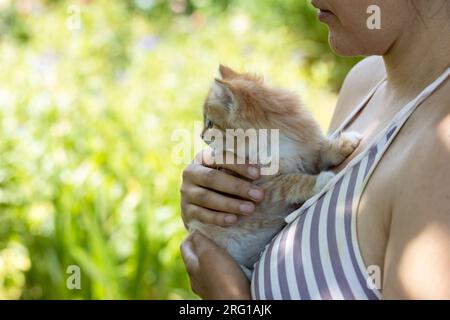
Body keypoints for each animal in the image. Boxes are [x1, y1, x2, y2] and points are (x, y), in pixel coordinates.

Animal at [188, 65, 360, 278]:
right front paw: (320, 180)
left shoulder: (305, 151)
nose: (201, 135)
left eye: (210, 124)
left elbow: (321, 151)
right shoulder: (262, 187)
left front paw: (345, 143)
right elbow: (292, 181)